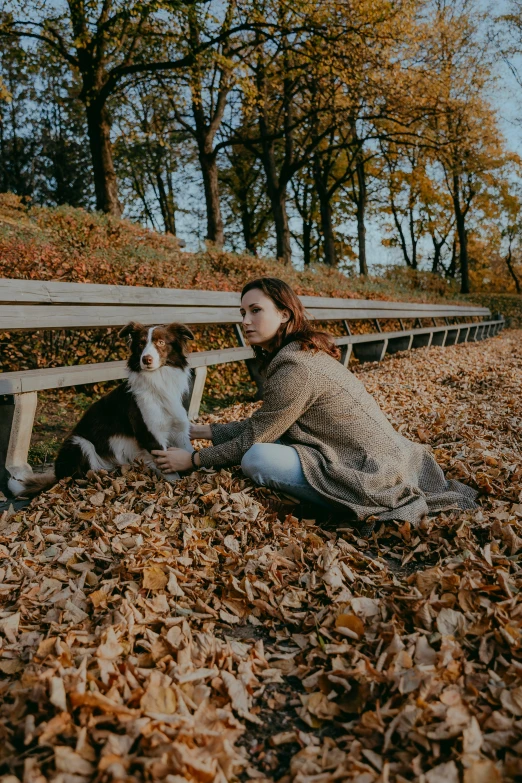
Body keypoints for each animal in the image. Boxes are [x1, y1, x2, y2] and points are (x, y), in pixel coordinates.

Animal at [7, 324, 195, 496]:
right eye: (141, 344)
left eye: (161, 342)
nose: (146, 359)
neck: (158, 381)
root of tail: (57, 474)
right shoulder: (150, 434)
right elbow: (170, 472)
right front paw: (176, 486)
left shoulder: (180, 431)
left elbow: (188, 452)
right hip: (78, 443)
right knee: (79, 476)